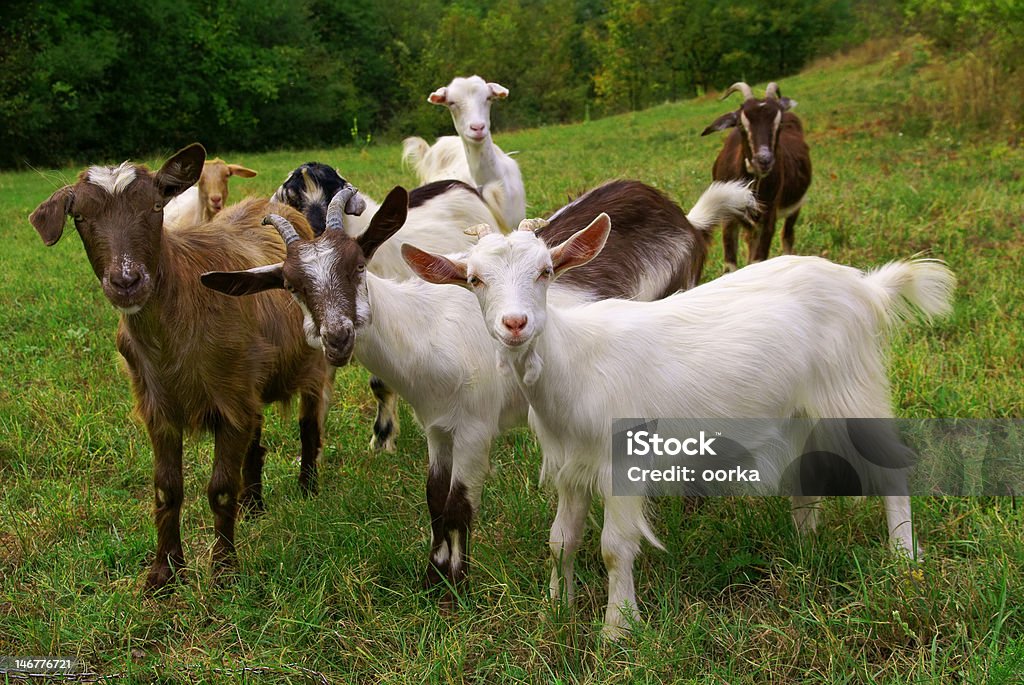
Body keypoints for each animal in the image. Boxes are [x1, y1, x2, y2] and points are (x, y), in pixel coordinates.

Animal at [28, 144, 329, 592]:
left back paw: (309, 488)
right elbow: (166, 489)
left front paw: (224, 570)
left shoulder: (230, 400)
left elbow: (220, 488)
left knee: (309, 425)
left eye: (156, 206)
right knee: (256, 442)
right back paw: (254, 505)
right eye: (79, 216)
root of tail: (275, 206)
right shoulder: (159, 405)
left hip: (310, 364)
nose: (127, 281)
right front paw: (164, 573)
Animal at [404, 215, 954, 638]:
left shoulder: (623, 460)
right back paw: (804, 548)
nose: (515, 324)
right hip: (799, 408)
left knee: (891, 468)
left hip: (851, 389)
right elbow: (561, 541)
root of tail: (866, 287)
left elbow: (613, 547)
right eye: (475, 280)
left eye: (545, 271)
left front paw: (618, 630)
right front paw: (554, 611)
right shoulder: (570, 464)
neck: (575, 364)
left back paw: (904, 559)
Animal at [701, 81, 812, 271]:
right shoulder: (728, 219)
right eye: (740, 124)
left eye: (779, 124)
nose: (763, 160)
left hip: (795, 206)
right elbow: (730, 265)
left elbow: (758, 260)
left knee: (787, 235)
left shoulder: (768, 217)